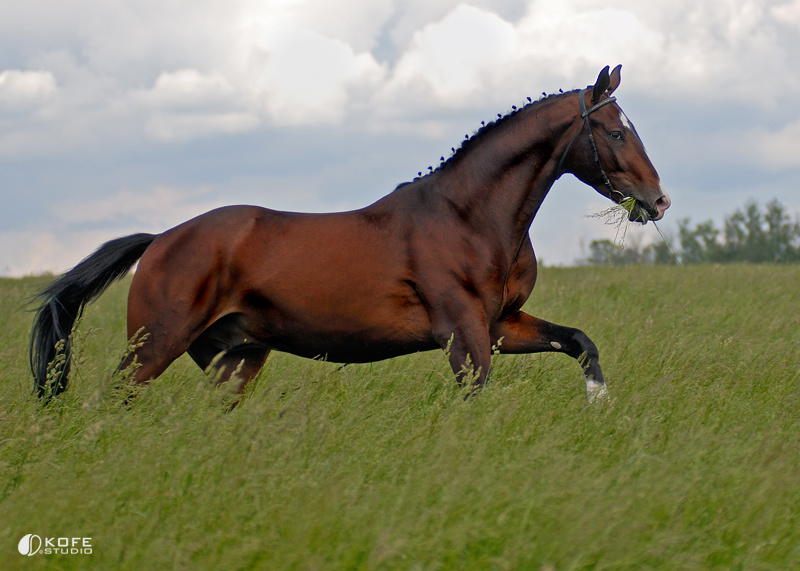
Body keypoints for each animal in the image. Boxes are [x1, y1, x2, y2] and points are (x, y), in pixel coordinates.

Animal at [30, 65, 670, 404]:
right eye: (615, 132)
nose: (658, 200)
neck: (471, 218)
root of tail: (162, 238)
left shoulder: (500, 325)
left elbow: (579, 341)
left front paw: (599, 402)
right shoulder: (464, 335)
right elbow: (476, 396)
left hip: (235, 355)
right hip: (154, 345)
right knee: (110, 400)